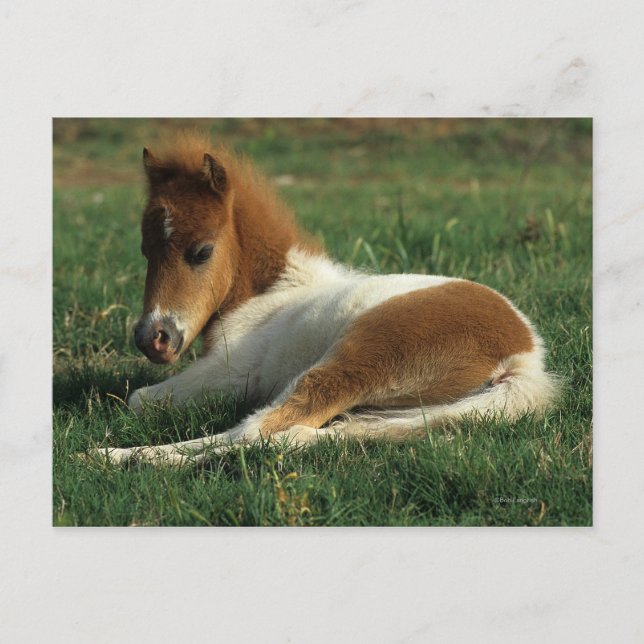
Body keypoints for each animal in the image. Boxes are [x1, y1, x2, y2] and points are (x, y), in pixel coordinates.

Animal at [97, 133, 559, 466]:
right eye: (145, 250)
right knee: (304, 435)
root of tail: (523, 357)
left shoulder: (230, 373)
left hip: (356, 362)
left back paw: (117, 457)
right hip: (411, 412)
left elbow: (139, 400)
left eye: (201, 252)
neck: (273, 292)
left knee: (259, 430)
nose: (152, 338)